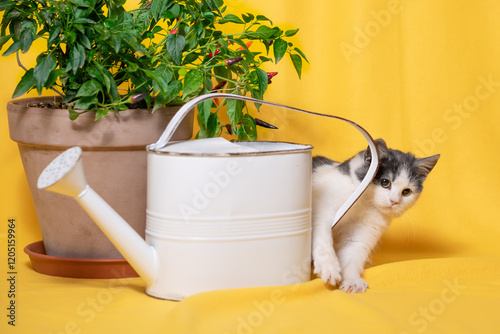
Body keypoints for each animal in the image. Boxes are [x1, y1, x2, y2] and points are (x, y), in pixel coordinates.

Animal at [310, 138, 440, 292]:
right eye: (385, 182)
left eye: (406, 192)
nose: (394, 201)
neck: (363, 203)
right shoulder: (322, 205)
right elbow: (322, 235)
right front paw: (329, 268)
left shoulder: (366, 229)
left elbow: (353, 252)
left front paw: (352, 281)